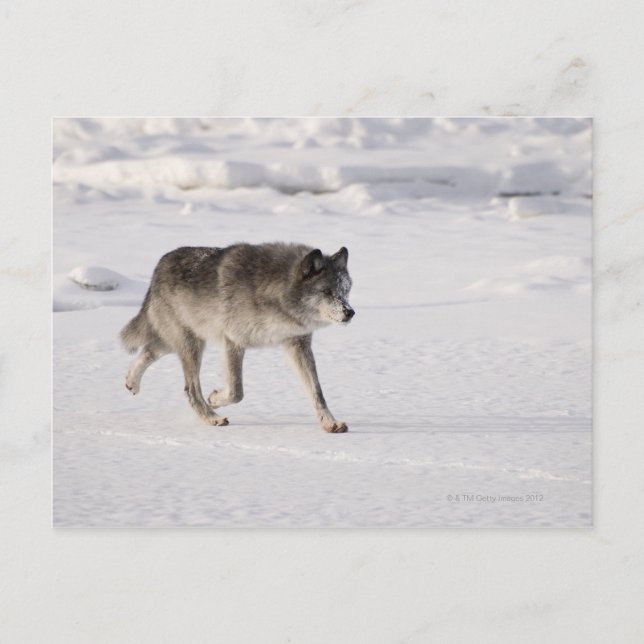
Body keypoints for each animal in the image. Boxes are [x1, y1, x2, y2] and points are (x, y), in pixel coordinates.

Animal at [120, 243, 354, 432]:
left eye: (345, 291)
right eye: (327, 291)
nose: (350, 312)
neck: (275, 291)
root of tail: (159, 266)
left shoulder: (298, 344)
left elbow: (317, 392)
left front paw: (329, 423)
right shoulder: (233, 341)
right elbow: (236, 392)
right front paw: (214, 398)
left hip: (185, 340)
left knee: (149, 350)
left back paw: (132, 382)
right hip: (191, 345)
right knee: (190, 389)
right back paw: (212, 419)